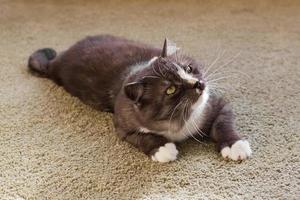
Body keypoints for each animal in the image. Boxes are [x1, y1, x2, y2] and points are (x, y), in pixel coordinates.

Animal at [29, 34, 252, 162]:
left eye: (188, 68)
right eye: (171, 90)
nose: (198, 84)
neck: (181, 121)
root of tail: (57, 60)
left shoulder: (217, 105)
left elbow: (222, 125)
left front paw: (235, 146)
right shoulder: (123, 127)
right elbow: (144, 138)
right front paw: (163, 150)